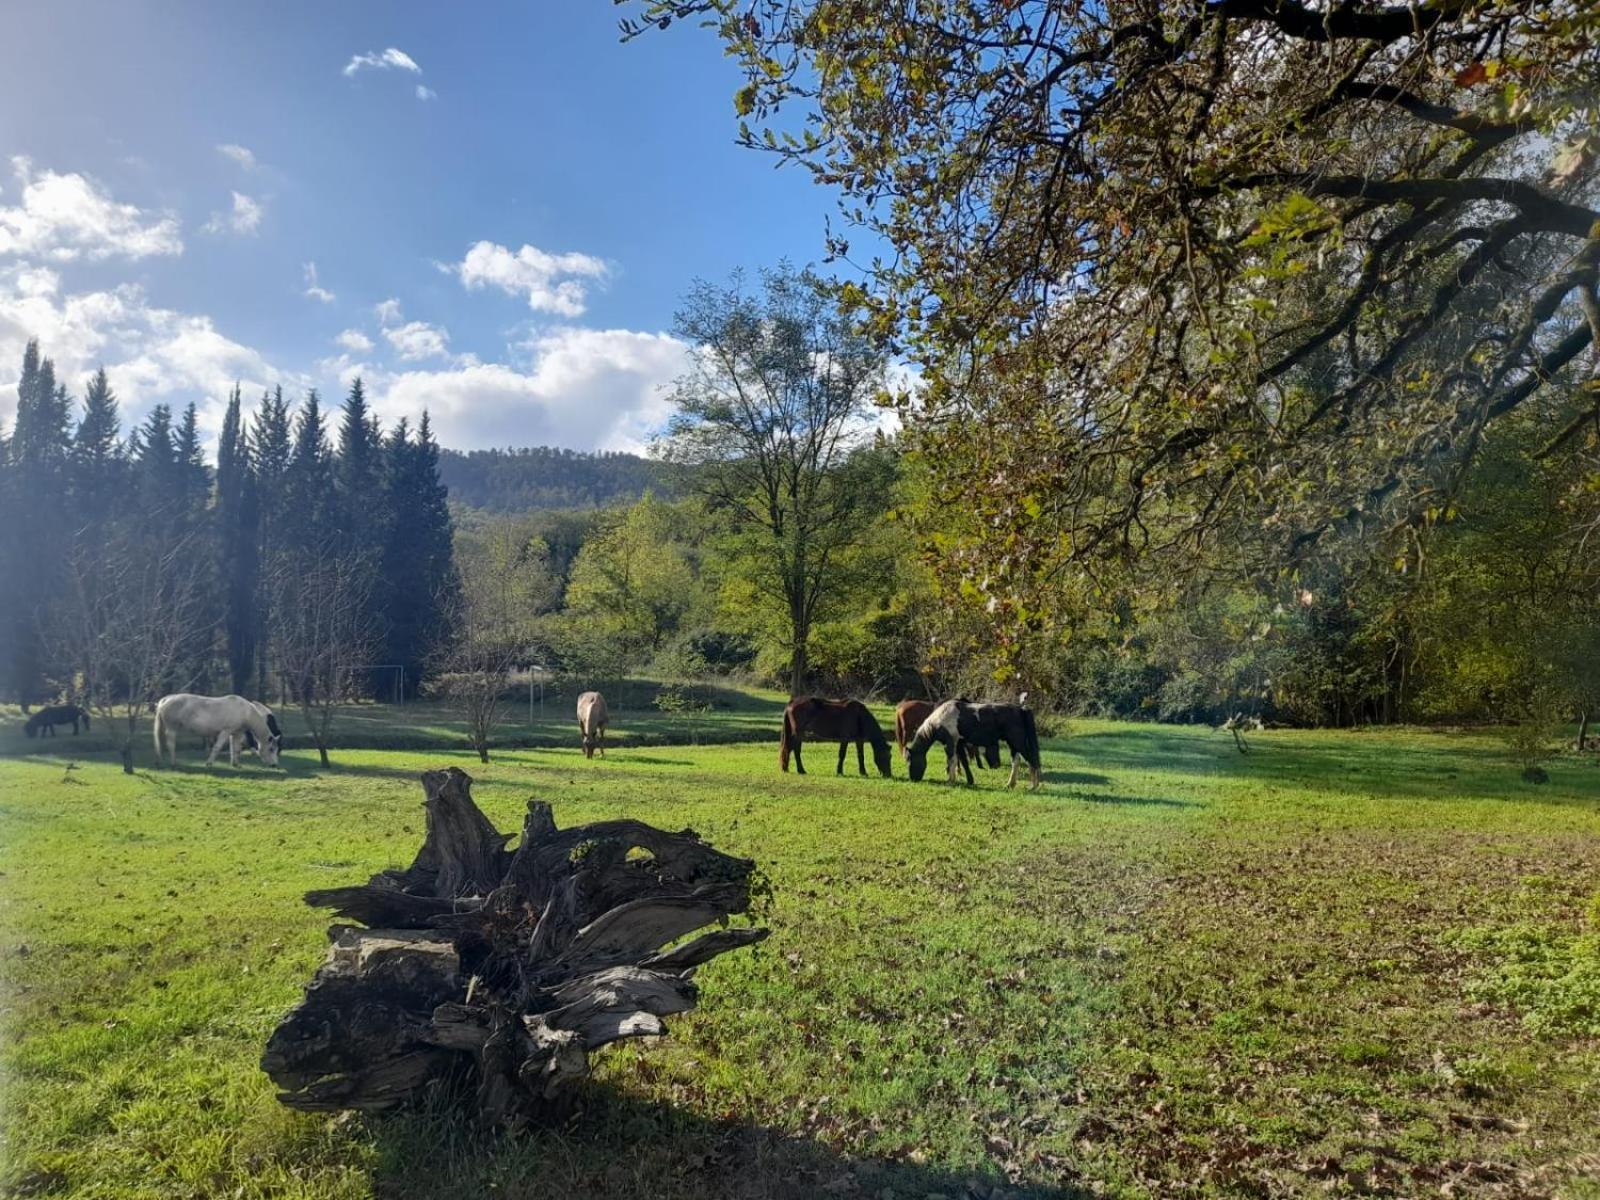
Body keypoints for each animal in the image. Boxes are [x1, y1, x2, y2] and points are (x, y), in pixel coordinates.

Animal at [154, 694, 283, 771]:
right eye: (271, 749)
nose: (275, 765)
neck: (245, 711)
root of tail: (166, 699)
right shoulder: (225, 732)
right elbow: (217, 747)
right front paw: (209, 763)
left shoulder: (236, 733)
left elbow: (236, 749)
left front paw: (236, 764)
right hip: (172, 728)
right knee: (171, 744)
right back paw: (173, 763)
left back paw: (160, 761)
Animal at [908, 700, 1043, 793]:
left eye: (910, 760)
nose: (913, 779)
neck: (940, 718)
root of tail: (1021, 708)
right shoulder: (959, 744)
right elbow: (963, 762)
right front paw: (969, 780)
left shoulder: (951, 743)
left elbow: (951, 760)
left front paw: (950, 781)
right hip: (1013, 744)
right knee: (1016, 761)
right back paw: (1010, 784)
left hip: (1017, 742)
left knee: (1031, 760)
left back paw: (1033, 786)